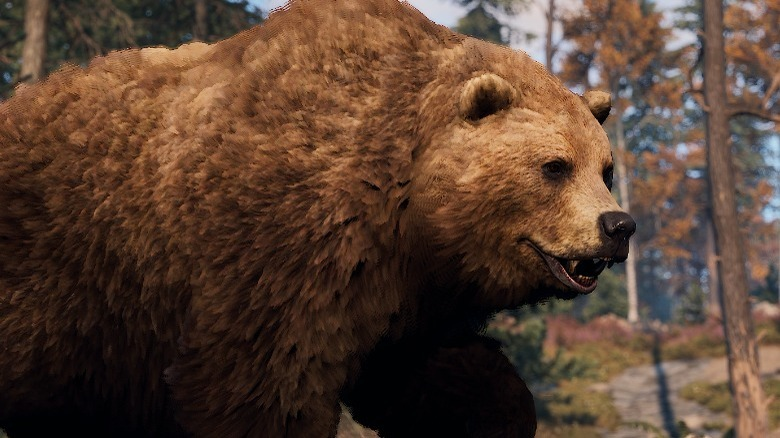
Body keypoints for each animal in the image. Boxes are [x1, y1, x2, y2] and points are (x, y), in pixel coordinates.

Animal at [0, 0, 635, 436]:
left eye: (605, 168)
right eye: (555, 166)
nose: (618, 226)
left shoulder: (401, 295)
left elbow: (442, 371)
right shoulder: (280, 246)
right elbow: (261, 389)